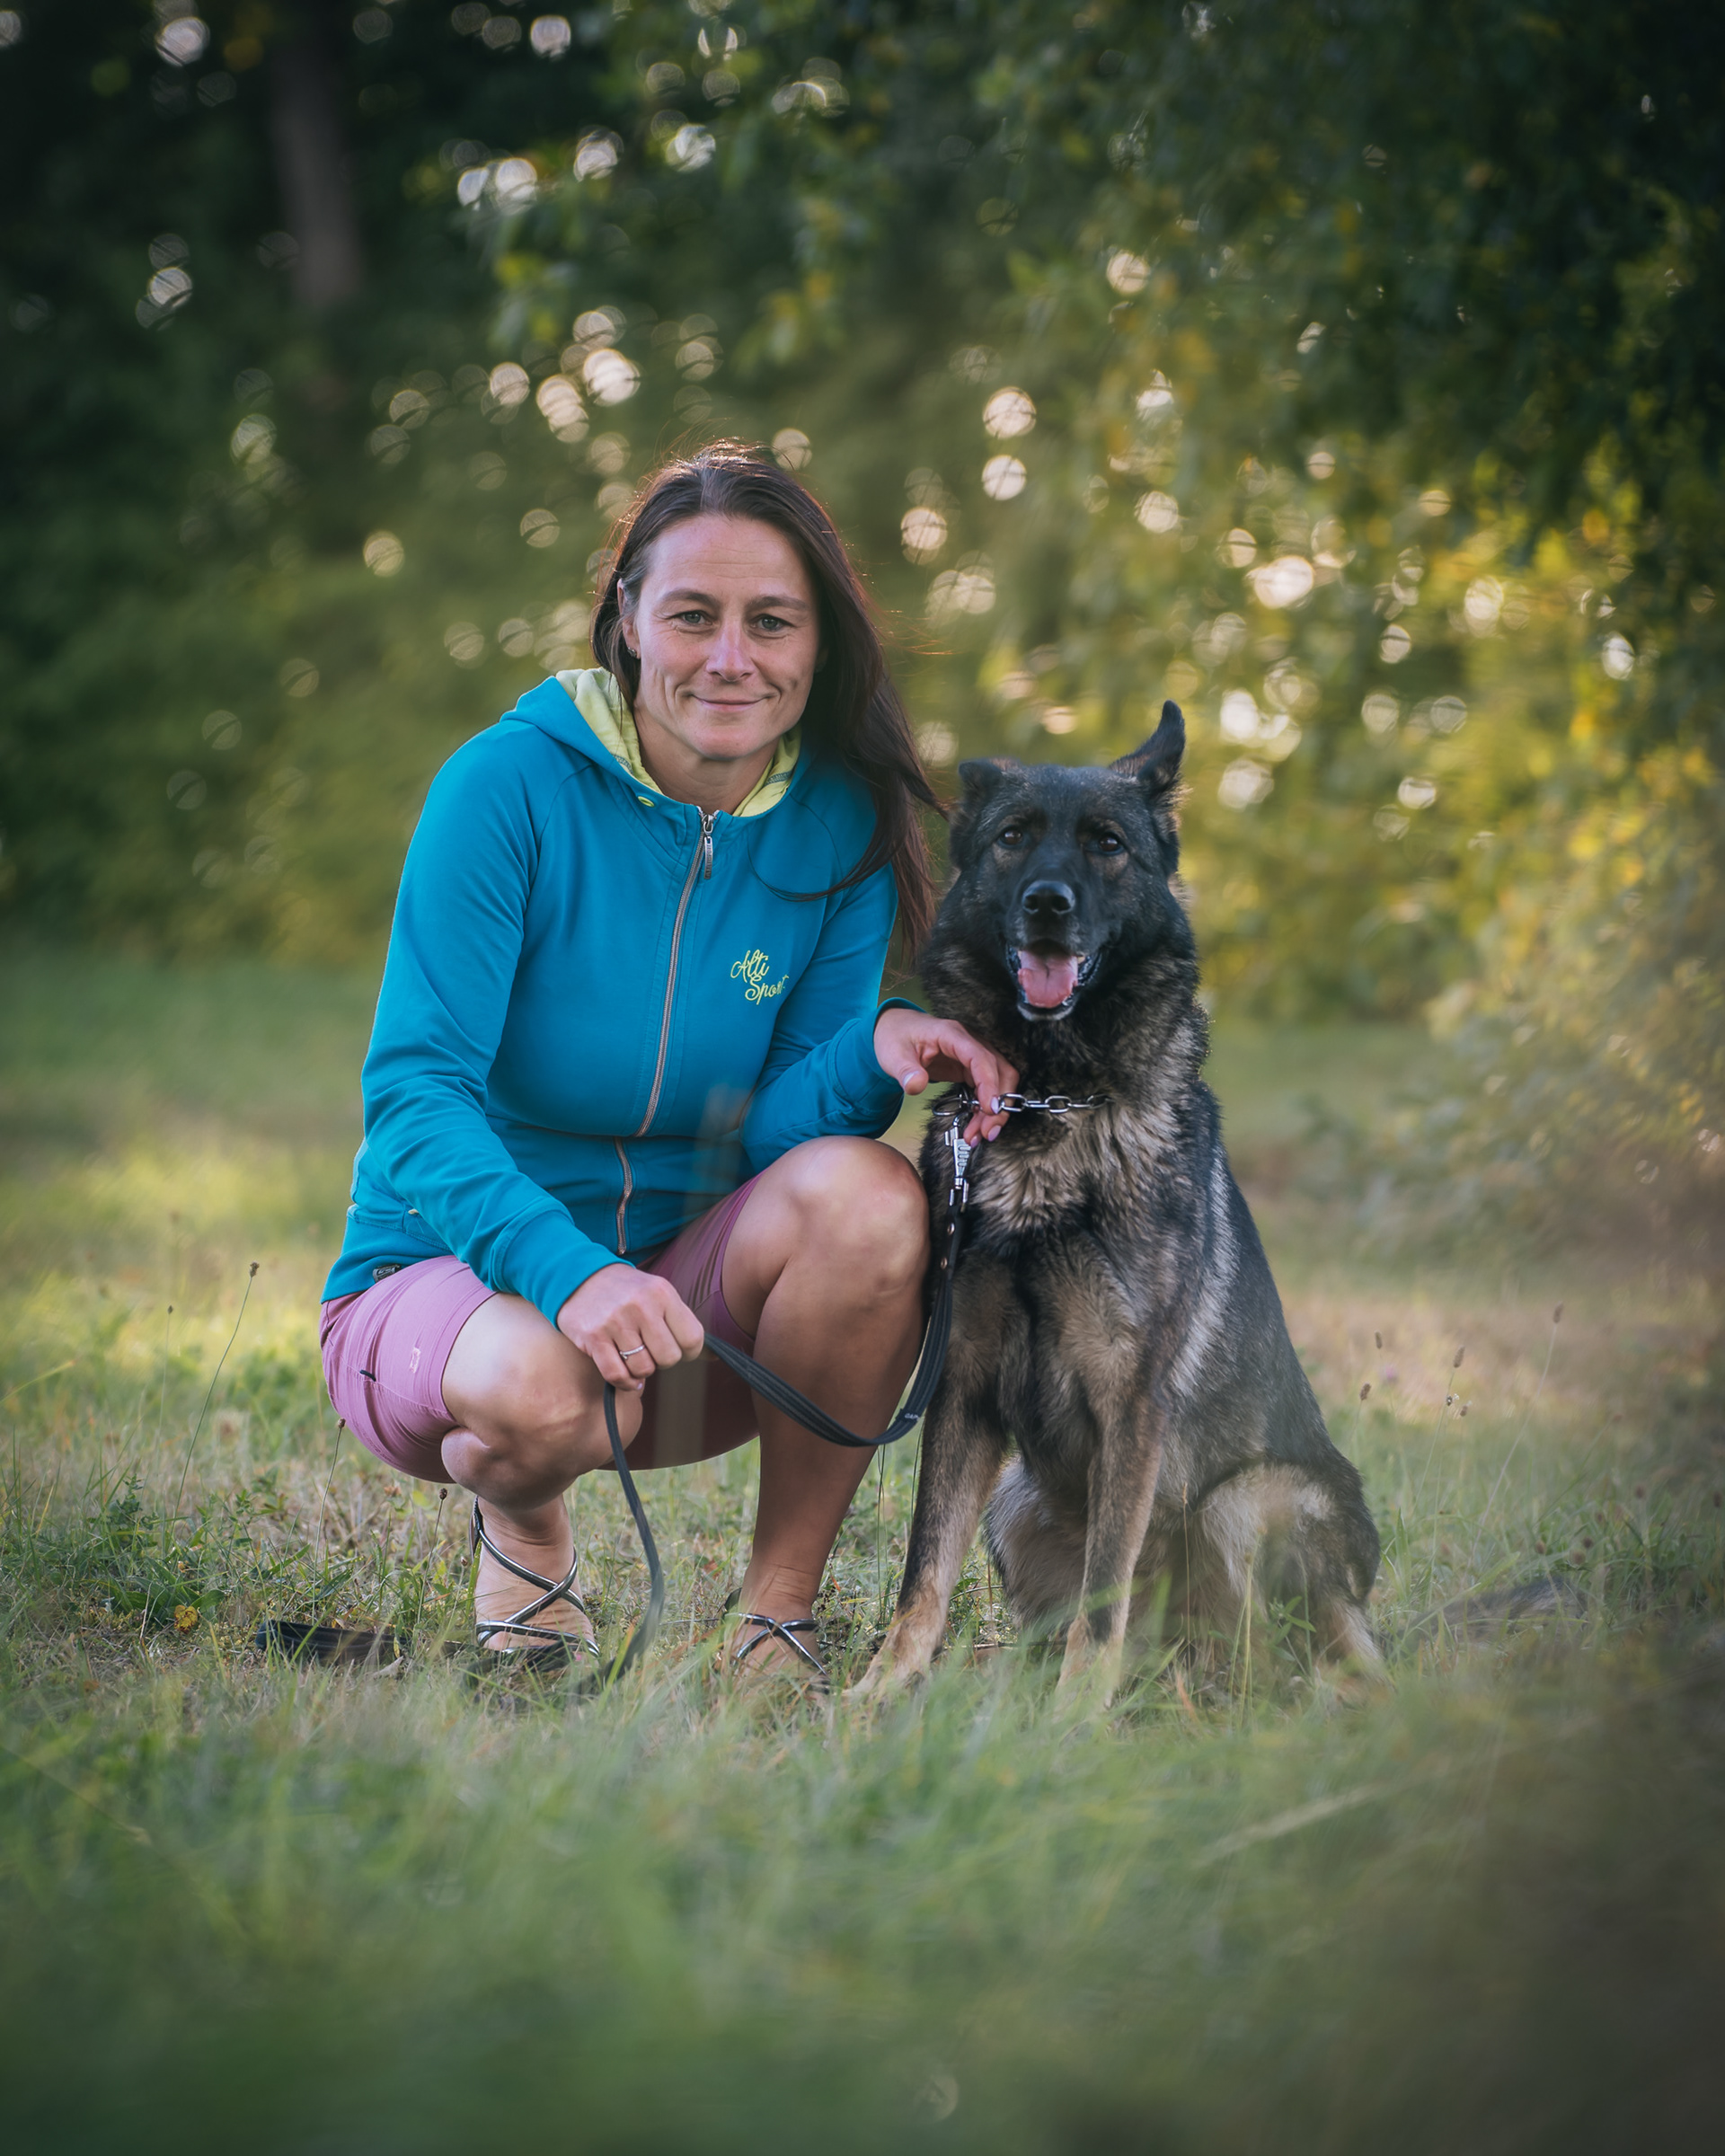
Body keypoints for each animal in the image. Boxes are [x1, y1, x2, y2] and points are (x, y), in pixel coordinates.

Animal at [857, 704, 1382, 1701]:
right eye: (1013, 839)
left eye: (1107, 845)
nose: (1047, 904)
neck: (1049, 1103)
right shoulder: (963, 1391)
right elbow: (923, 1572)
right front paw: (879, 1691)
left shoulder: (1130, 1409)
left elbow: (1101, 1603)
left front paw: (1070, 1720)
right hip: (1017, 1502)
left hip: (1248, 1502)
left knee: (1281, 1672)